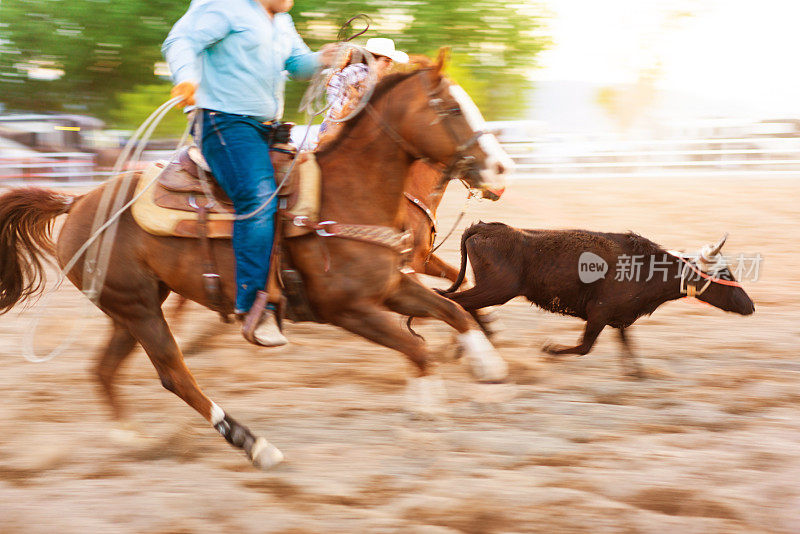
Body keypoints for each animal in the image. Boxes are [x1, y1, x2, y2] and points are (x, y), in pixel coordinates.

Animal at [0, 58, 512, 472]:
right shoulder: (348, 309)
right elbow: (418, 349)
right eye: (450, 108)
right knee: (174, 374)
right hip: (138, 307)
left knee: (105, 368)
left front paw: (490, 372)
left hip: (130, 306)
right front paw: (429, 412)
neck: (348, 194)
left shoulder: (392, 285)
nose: (502, 171)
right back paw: (254, 444)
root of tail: (76, 201)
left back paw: (130, 437)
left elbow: (454, 311)